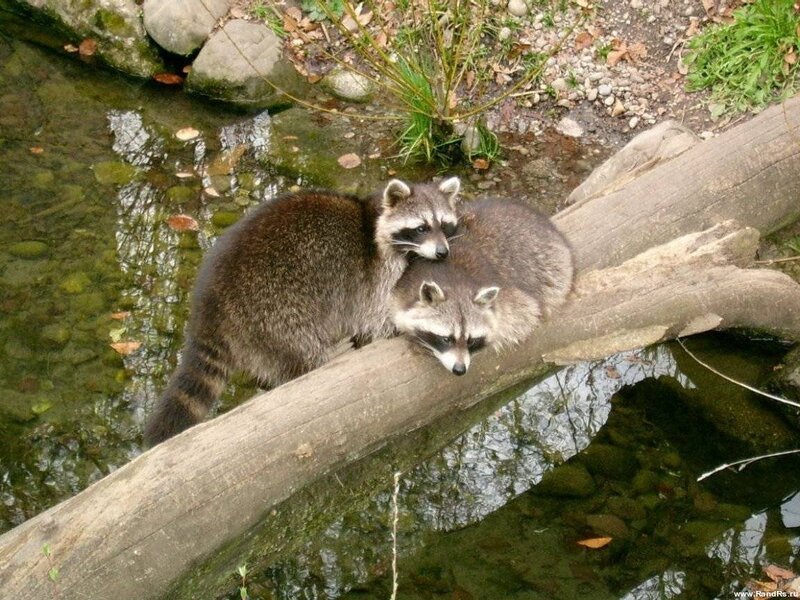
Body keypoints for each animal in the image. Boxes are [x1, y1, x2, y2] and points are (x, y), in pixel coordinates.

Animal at [144, 177, 461, 446]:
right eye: (421, 228)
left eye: (445, 225)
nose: (443, 252)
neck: (373, 217)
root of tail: (211, 303)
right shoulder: (375, 274)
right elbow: (376, 317)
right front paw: (397, 327)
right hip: (273, 309)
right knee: (301, 346)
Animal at [391, 198, 573, 375]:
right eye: (446, 339)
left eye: (471, 340)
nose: (460, 370)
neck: (455, 282)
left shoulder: (512, 300)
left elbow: (523, 317)